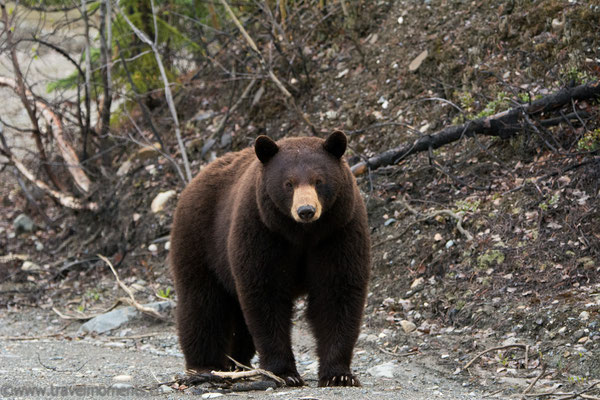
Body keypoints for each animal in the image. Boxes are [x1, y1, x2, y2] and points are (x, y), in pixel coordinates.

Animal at [169, 132, 370, 388]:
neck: (303, 234)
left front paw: (339, 374)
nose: (306, 210)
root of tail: (194, 181)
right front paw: (284, 373)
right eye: (289, 183)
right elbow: (266, 294)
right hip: (200, 241)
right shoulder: (262, 230)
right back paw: (205, 367)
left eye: (319, 180)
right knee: (202, 304)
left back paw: (237, 363)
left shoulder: (338, 231)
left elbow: (337, 292)